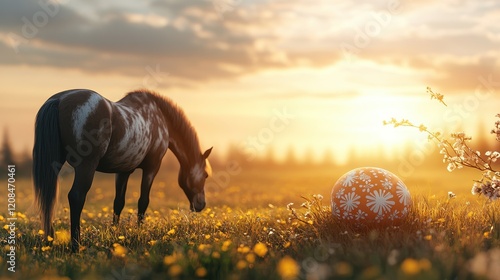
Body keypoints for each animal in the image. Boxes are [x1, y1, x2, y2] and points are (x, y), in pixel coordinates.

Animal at [31, 89, 211, 252]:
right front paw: (140, 232)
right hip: (86, 166)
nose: (201, 205)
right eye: (206, 175)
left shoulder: (124, 170)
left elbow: (118, 202)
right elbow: (143, 201)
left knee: (48, 198)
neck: (159, 117)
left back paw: (49, 241)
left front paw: (115, 233)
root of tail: (60, 100)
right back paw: (76, 246)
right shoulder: (152, 168)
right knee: (76, 197)